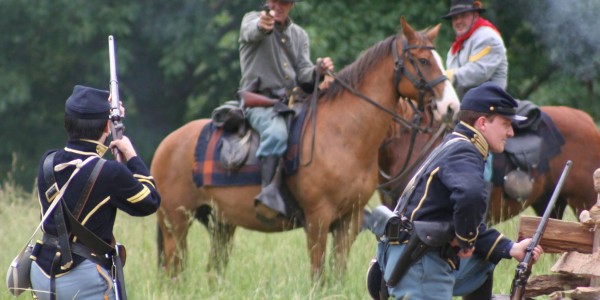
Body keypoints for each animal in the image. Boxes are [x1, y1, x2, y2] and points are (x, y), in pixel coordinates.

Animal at [151, 18, 460, 282]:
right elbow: (318, 275)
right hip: (175, 224)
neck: (343, 134)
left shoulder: (349, 221)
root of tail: (167, 143)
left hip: (221, 225)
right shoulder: (317, 220)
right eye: (422, 60)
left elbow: (337, 273)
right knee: (173, 272)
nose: (451, 107)